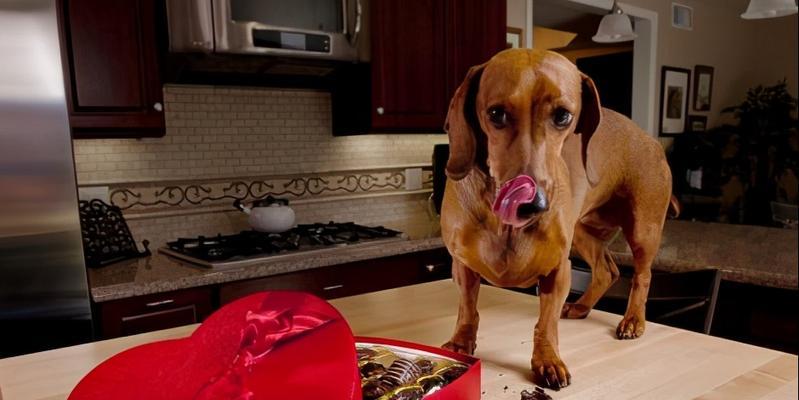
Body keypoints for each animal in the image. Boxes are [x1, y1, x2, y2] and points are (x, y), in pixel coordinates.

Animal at [440, 48, 680, 390]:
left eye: (563, 116)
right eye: (496, 113)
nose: (533, 205)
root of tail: (649, 138)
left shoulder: (558, 270)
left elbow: (546, 323)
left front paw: (548, 360)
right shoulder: (462, 265)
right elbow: (467, 309)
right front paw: (460, 343)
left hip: (643, 230)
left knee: (642, 275)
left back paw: (633, 319)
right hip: (582, 232)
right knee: (606, 269)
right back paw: (581, 306)